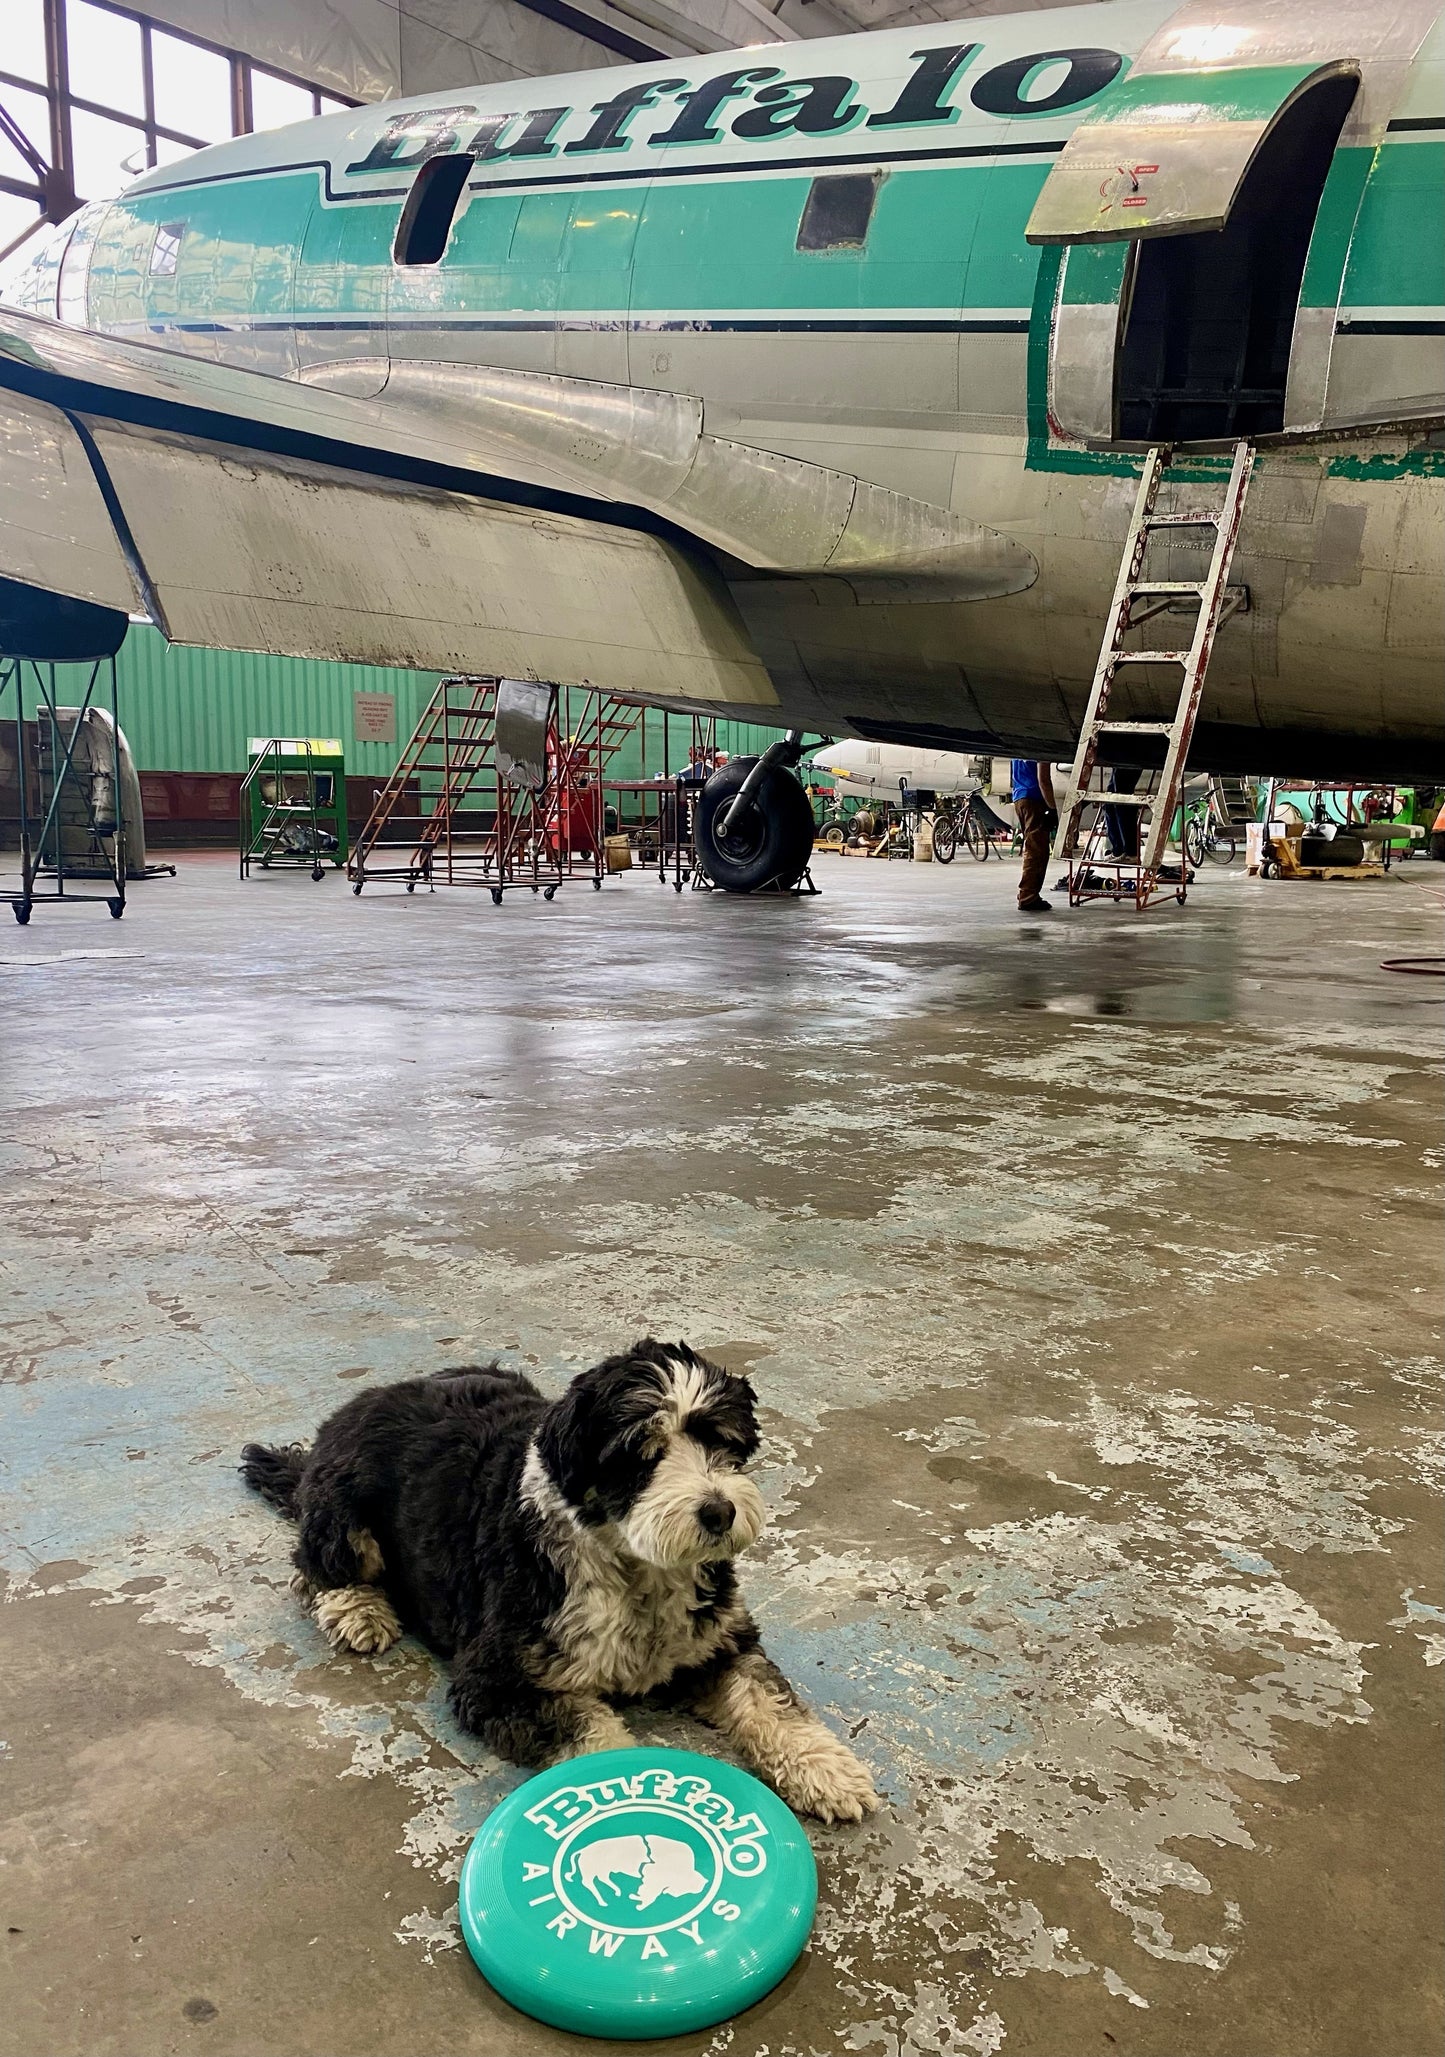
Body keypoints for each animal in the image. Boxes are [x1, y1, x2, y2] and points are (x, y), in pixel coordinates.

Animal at [241, 1341, 876, 1826]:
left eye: (721, 1442)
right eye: (640, 1454)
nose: (720, 1513)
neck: (635, 1571)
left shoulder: (721, 1639)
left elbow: (767, 1698)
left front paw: (827, 1770)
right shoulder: (495, 1683)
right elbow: (591, 1732)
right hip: (346, 1514)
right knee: (312, 1565)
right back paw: (358, 1610)